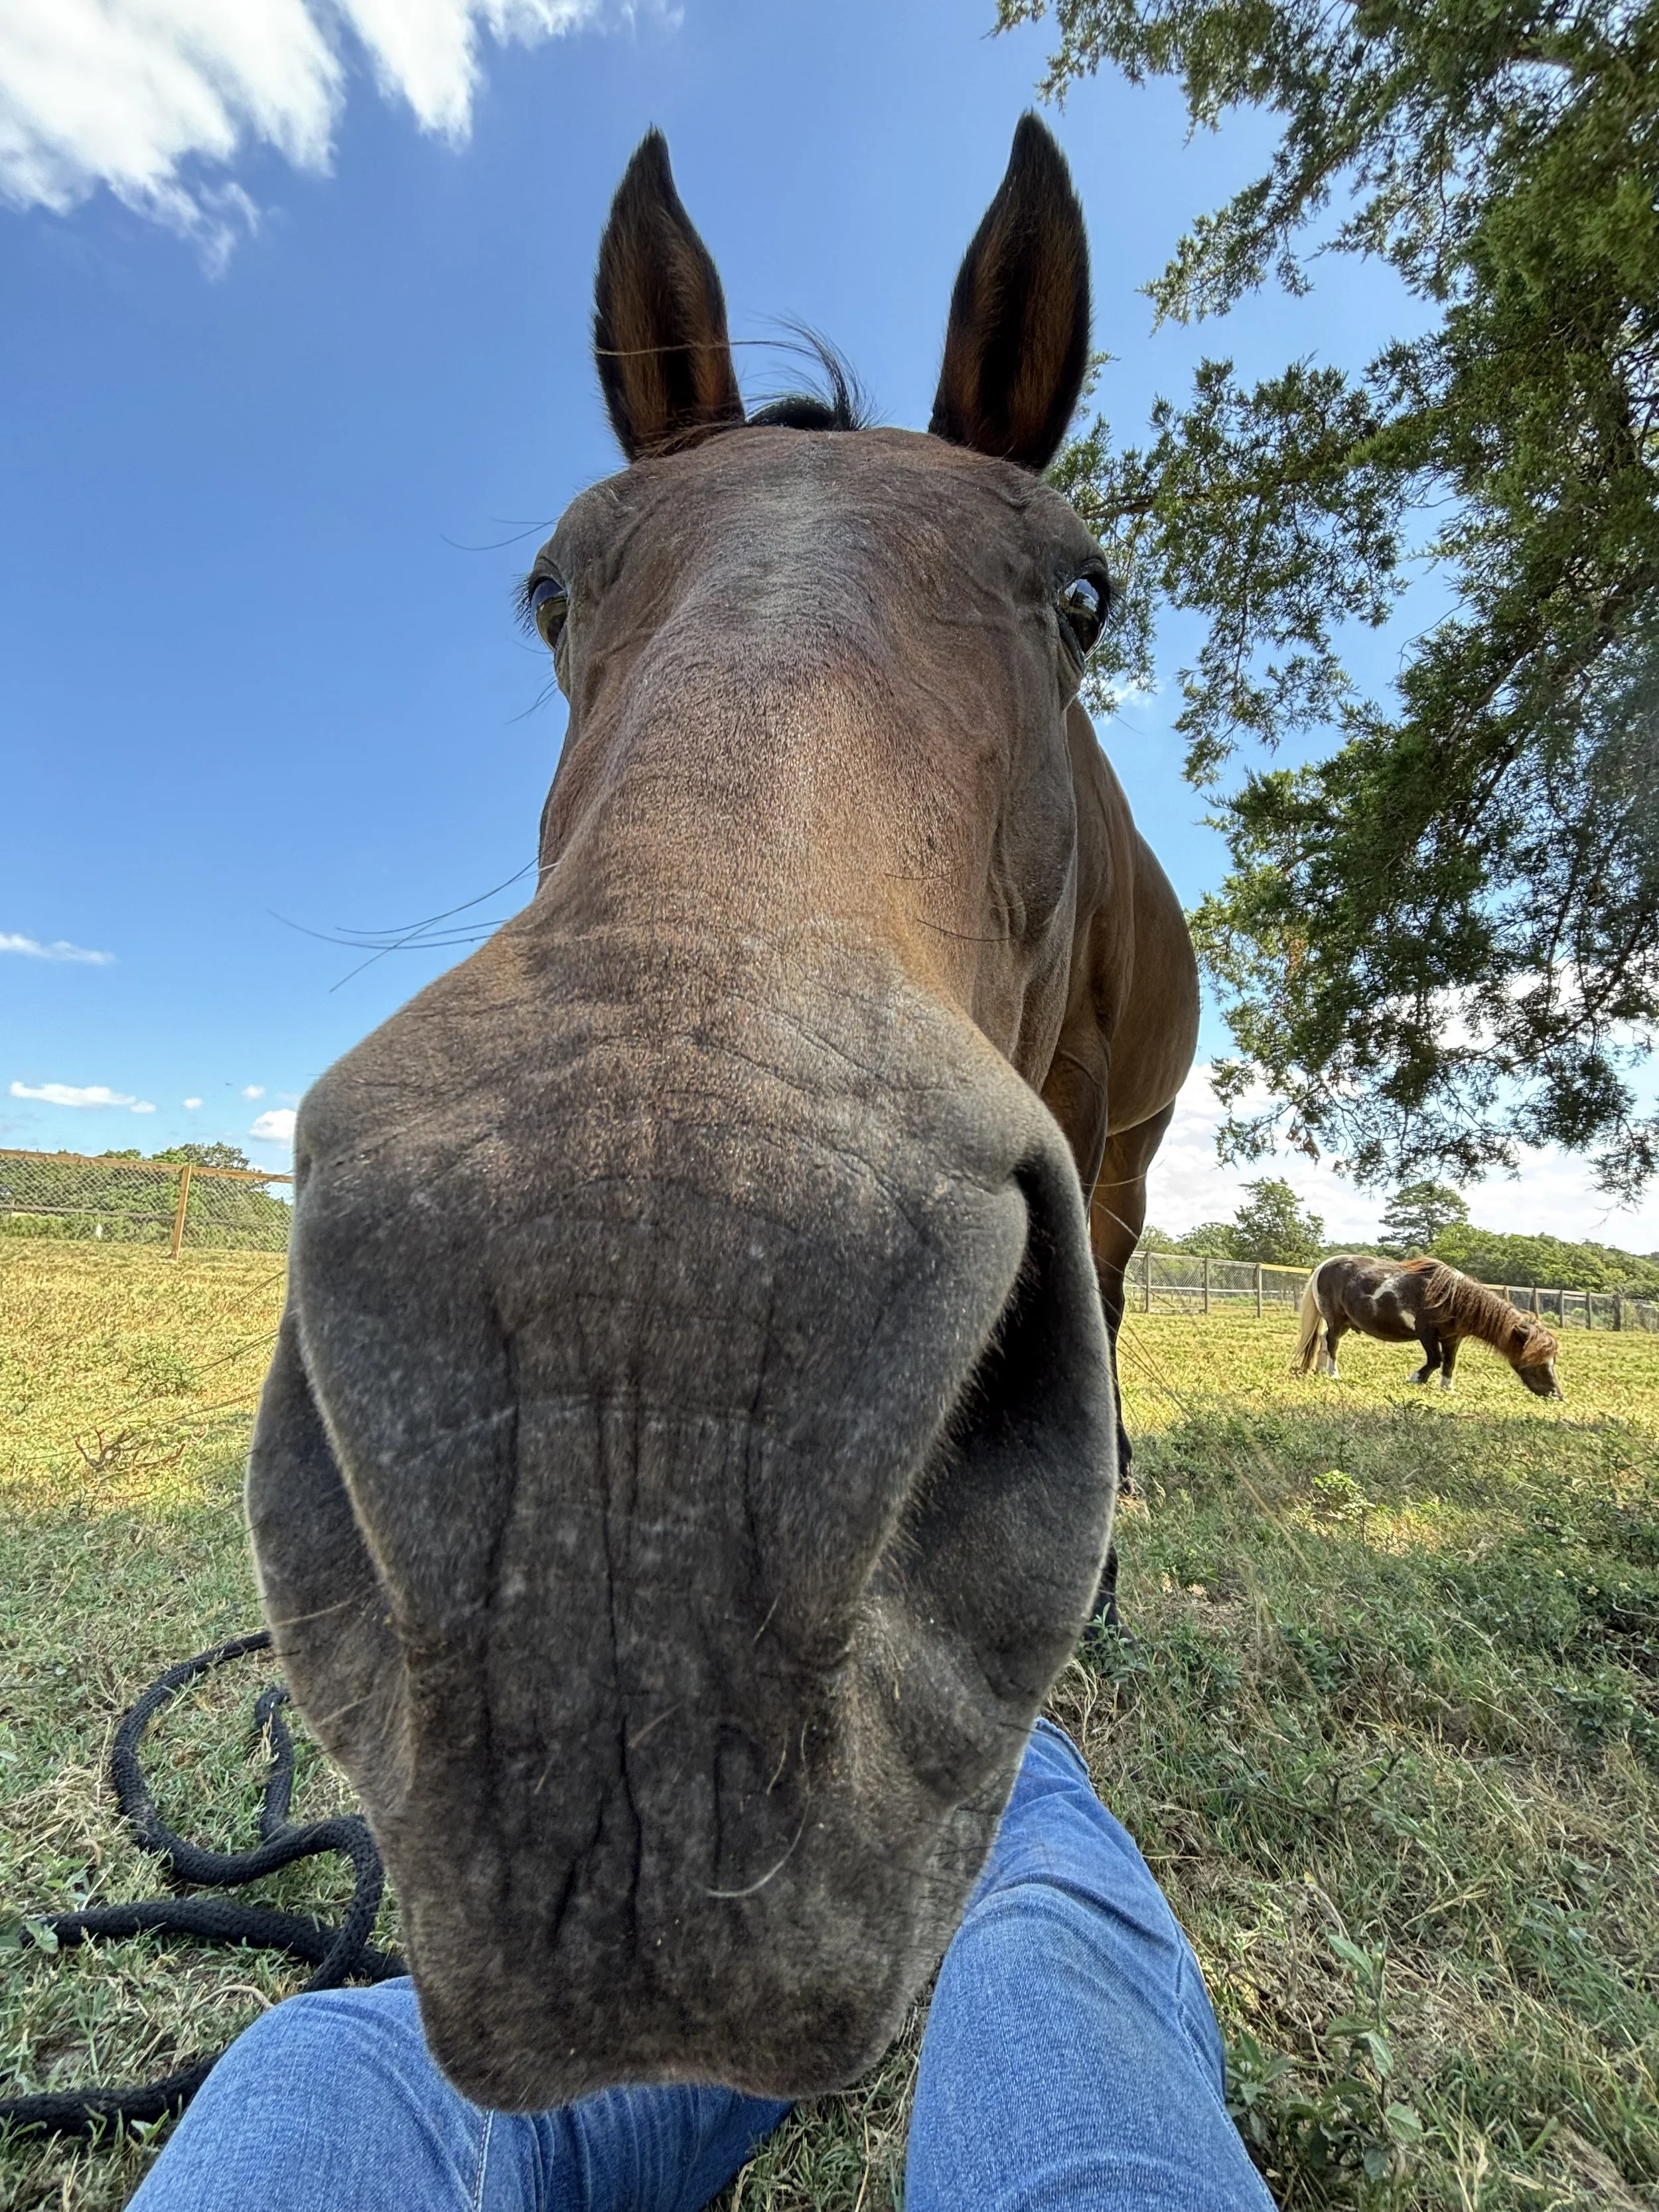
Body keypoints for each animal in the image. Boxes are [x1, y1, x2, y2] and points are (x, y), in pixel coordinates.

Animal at [1296, 1254, 1563, 1397]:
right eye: (1537, 1362)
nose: (1556, 1395)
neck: (1454, 1297)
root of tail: (1324, 1265)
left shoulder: (1453, 1338)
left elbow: (1449, 1364)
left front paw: (1448, 1388)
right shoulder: (1427, 1333)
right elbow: (1435, 1360)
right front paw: (1415, 1378)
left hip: (1341, 1323)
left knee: (1323, 1340)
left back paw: (1319, 1371)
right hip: (1337, 1320)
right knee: (1331, 1343)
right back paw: (1334, 1373)